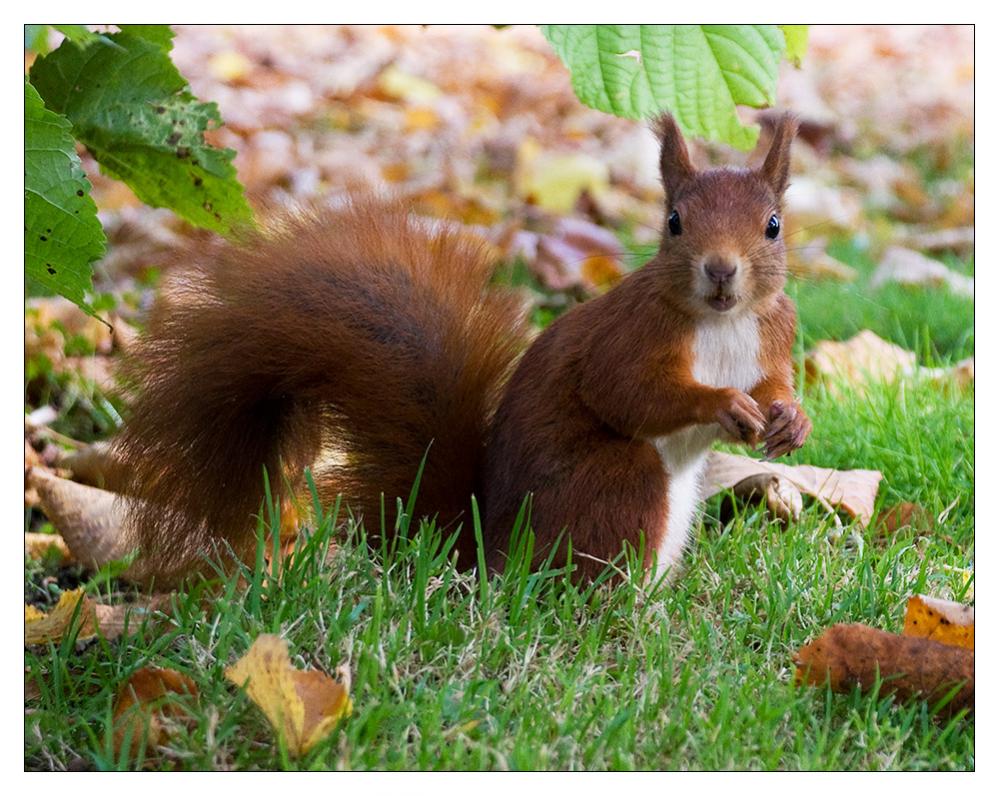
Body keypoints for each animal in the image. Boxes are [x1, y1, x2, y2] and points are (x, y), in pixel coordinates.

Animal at [113, 113, 811, 587]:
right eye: (673, 222)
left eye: (773, 225)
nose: (720, 270)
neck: (723, 322)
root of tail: (490, 558)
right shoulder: (630, 336)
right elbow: (627, 393)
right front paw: (725, 405)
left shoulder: (774, 333)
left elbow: (773, 381)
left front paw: (791, 418)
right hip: (618, 485)